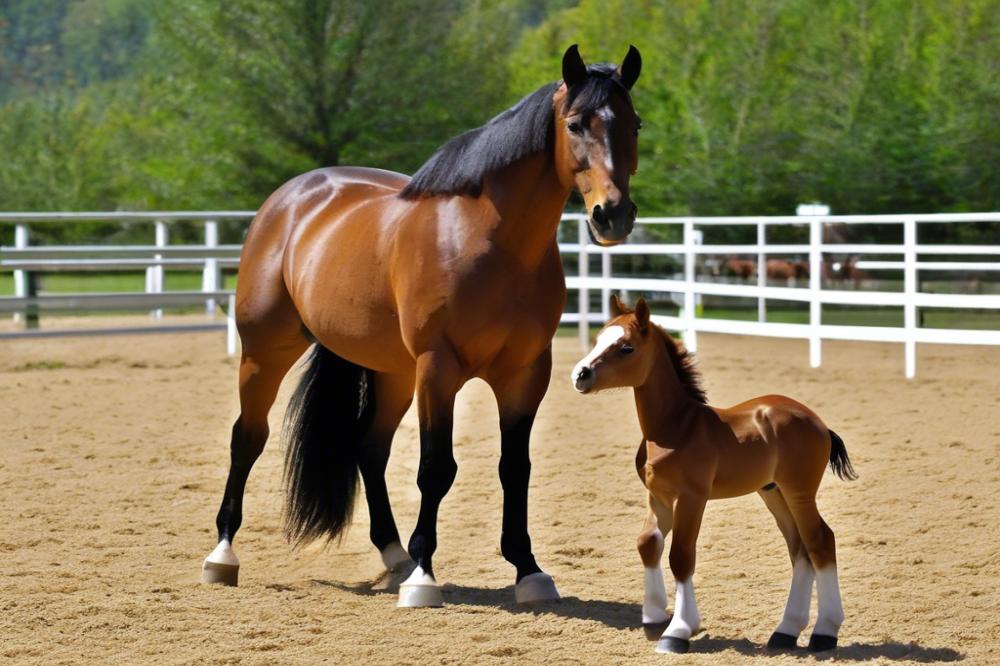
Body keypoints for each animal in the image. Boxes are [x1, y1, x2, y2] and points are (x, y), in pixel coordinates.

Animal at [199, 44, 644, 608]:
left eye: (634, 123)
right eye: (575, 124)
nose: (614, 215)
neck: (488, 240)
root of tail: (291, 197)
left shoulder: (525, 373)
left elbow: (514, 467)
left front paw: (527, 570)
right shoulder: (439, 368)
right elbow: (436, 468)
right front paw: (424, 578)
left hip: (391, 372)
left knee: (369, 448)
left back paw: (394, 554)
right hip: (265, 352)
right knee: (248, 438)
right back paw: (223, 555)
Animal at [576, 296, 856, 652]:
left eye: (626, 347)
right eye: (598, 339)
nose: (580, 375)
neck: (674, 426)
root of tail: (818, 423)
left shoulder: (692, 498)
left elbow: (681, 556)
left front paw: (678, 631)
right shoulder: (659, 497)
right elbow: (648, 543)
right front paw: (654, 617)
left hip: (799, 491)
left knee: (820, 541)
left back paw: (824, 632)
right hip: (773, 491)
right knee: (799, 549)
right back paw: (785, 631)